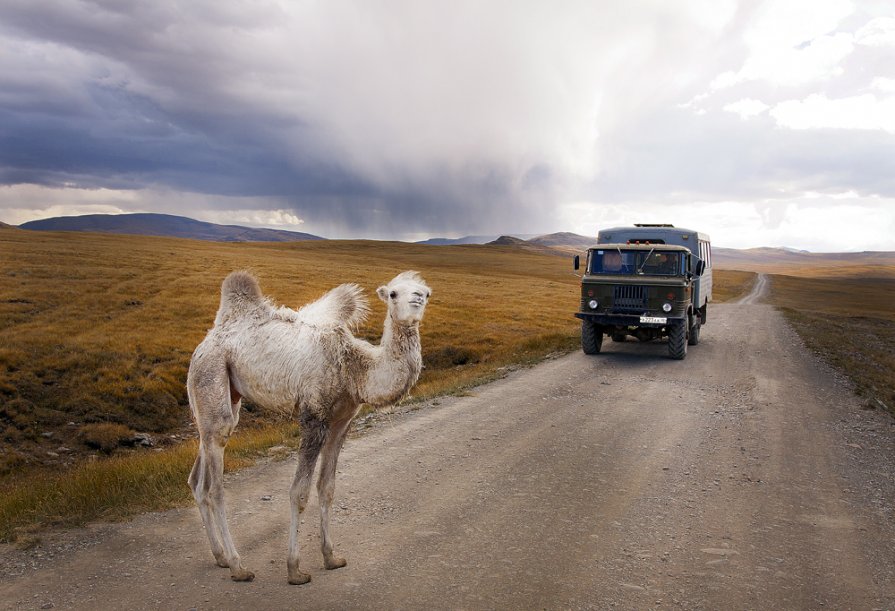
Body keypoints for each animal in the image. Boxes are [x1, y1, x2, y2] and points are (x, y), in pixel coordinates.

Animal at [186, 270, 430, 584]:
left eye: (425, 292)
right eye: (393, 293)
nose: (417, 300)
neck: (355, 369)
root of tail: (208, 339)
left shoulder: (342, 422)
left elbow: (327, 488)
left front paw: (331, 557)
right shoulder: (313, 417)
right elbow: (298, 492)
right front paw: (295, 569)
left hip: (227, 395)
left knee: (198, 473)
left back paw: (220, 557)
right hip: (211, 373)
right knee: (215, 480)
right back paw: (238, 566)